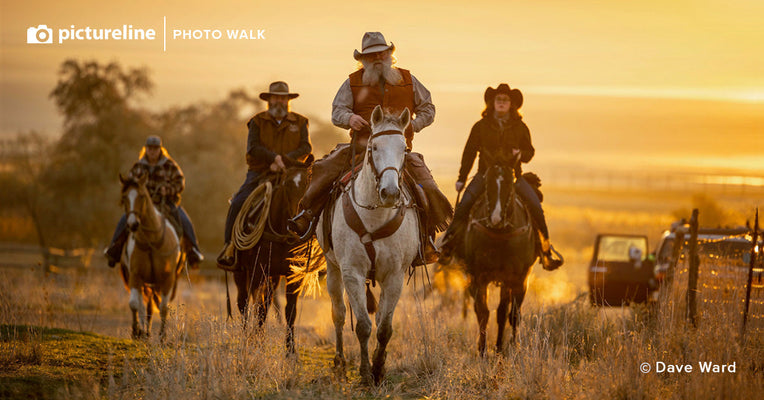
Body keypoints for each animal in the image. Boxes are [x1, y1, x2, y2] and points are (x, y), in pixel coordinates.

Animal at [118, 173, 183, 340]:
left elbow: (164, 307)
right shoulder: (135, 276)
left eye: (141, 196)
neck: (151, 242)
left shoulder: (167, 279)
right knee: (143, 305)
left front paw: (162, 336)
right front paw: (136, 331)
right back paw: (143, 332)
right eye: (124, 197)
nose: (133, 224)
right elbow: (134, 304)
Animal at [230, 159, 310, 354]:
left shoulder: (293, 275)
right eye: (287, 185)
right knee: (243, 303)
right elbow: (258, 308)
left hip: (273, 278)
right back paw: (246, 335)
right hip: (241, 273)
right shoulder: (258, 272)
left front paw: (290, 351)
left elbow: (290, 311)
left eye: (308, 183)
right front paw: (256, 341)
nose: (296, 223)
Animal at [318, 105, 424, 384]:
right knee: (339, 313)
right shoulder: (352, 272)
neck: (375, 216)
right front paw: (365, 373)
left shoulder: (394, 275)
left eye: (403, 149)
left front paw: (379, 368)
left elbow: (384, 328)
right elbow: (363, 326)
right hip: (333, 268)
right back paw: (339, 362)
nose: (390, 193)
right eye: (373, 147)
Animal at [456, 155, 540, 354]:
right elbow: (483, 312)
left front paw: (507, 347)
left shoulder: (517, 278)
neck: (500, 235)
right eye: (487, 183)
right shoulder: (478, 277)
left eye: (510, 183)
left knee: (507, 311)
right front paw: (482, 350)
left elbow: (509, 313)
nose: (496, 218)